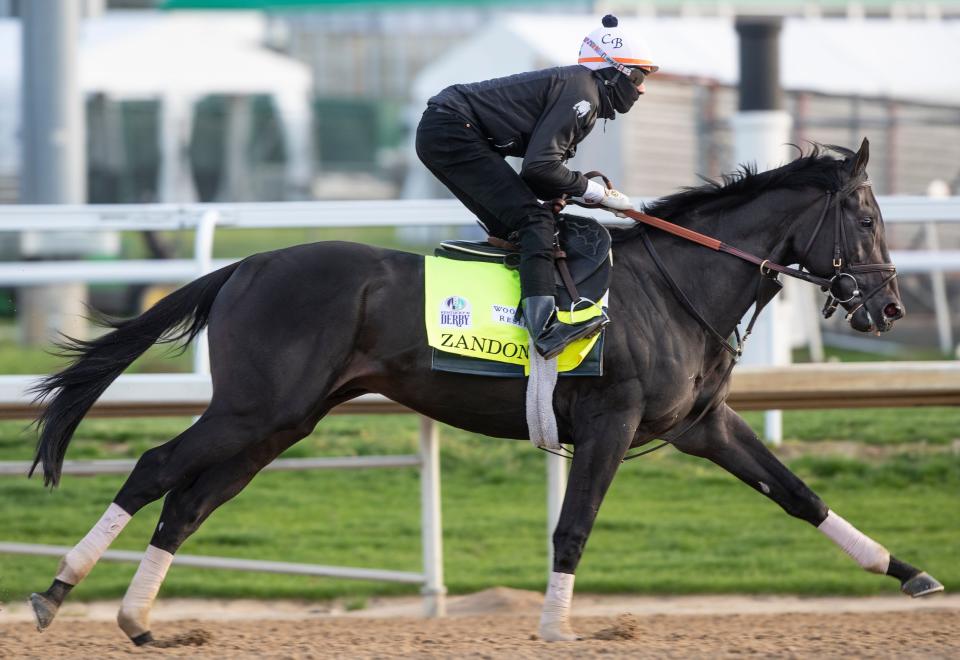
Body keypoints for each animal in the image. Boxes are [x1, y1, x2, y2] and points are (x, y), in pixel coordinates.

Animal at [24, 141, 944, 644]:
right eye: (867, 219)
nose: (891, 307)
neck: (679, 284)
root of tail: (244, 266)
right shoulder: (612, 423)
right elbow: (573, 528)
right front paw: (558, 626)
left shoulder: (701, 425)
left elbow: (798, 494)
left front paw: (908, 573)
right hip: (253, 408)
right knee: (155, 467)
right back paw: (57, 589)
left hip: (283, 422)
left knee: (189, 503)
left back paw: (140, 619)